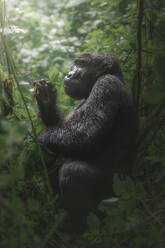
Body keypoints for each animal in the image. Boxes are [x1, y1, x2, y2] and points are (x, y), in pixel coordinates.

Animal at [34, 52, 138, 232]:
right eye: (76, 63)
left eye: (81, 64)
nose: (69, 73)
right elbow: (63, 126)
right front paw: (46, 100)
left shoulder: (106, 86)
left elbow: (88, 134)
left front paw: (41, 137)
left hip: (116, 192)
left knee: (73, 173)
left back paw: (79, 230)